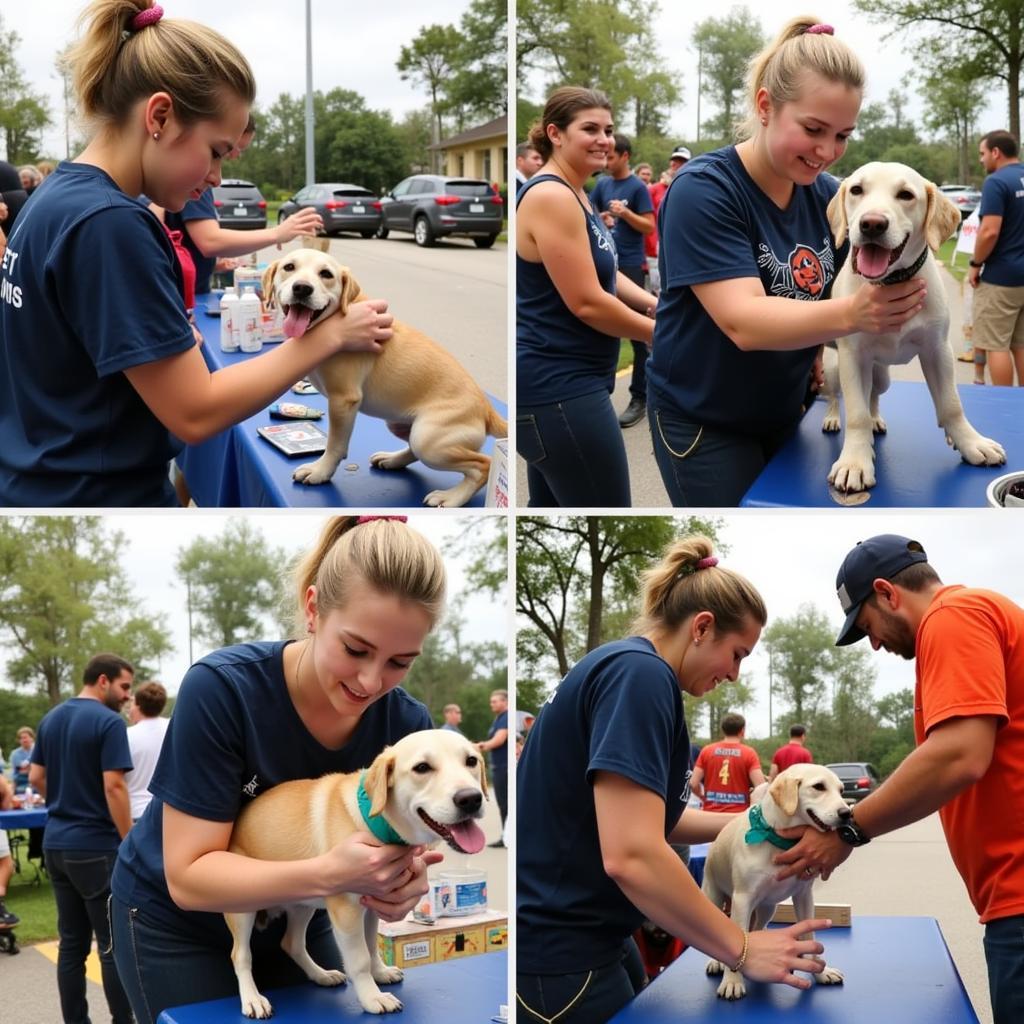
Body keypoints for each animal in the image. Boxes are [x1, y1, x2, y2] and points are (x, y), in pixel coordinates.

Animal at [227, 729, 487, 1015]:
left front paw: (380, 972)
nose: (470, 799)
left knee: (292, 943)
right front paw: (372, 997)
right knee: (241, 955)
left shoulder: (373, 903)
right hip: (243, 908)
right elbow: (360, 959)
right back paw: (252, 998)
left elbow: (372, 945)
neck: (372, 819)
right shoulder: (346, 910)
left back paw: (321, 975)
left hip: (302, 904)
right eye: (422, 767)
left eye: (471, 761)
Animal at [262, 247, 505, 503]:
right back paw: (393, 459)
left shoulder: (343, 400)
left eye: (326, 274)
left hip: (428, 439)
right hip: (402, 426)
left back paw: (452, 498)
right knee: (414, 451)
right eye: (289, 267)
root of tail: (487, 409)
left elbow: (335, 444)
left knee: (483, 465)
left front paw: (320, 471)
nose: (302, 288)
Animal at [696, 770, 847, 999]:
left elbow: (809, 934)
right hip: (713, 897)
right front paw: (732, 980)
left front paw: (820, 972)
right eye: (819, 787)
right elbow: (738, 939)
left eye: (841, 790)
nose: (847, 813)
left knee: (757, 928)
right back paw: (717, 961)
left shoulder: (804, 896)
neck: (777, 841)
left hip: (768, 908)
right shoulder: (742, 900)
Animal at [819, 160, 1003, 491]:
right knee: (837, 397)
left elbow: (951, 404)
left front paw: (970, 443)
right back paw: (833, 417)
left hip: (882, 377)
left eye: (905, 195)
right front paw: (855, 462)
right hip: (834, 368)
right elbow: (856, 413)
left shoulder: (937, 350)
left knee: (873, 395)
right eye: (856, 190)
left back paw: (876, 419)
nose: (872, 224)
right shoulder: (852, 357)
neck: (890, 283)